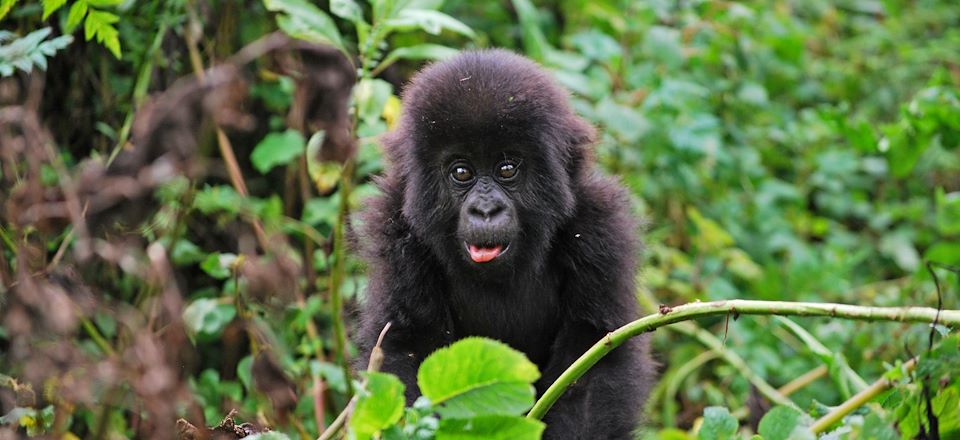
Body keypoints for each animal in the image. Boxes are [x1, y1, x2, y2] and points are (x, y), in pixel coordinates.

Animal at [356, 49, 656, 438]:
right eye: (462, 172)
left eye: (507, 169)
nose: (486, 210)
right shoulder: (396, 227)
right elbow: (405, 346)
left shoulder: (600, 224)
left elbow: (592, 358)